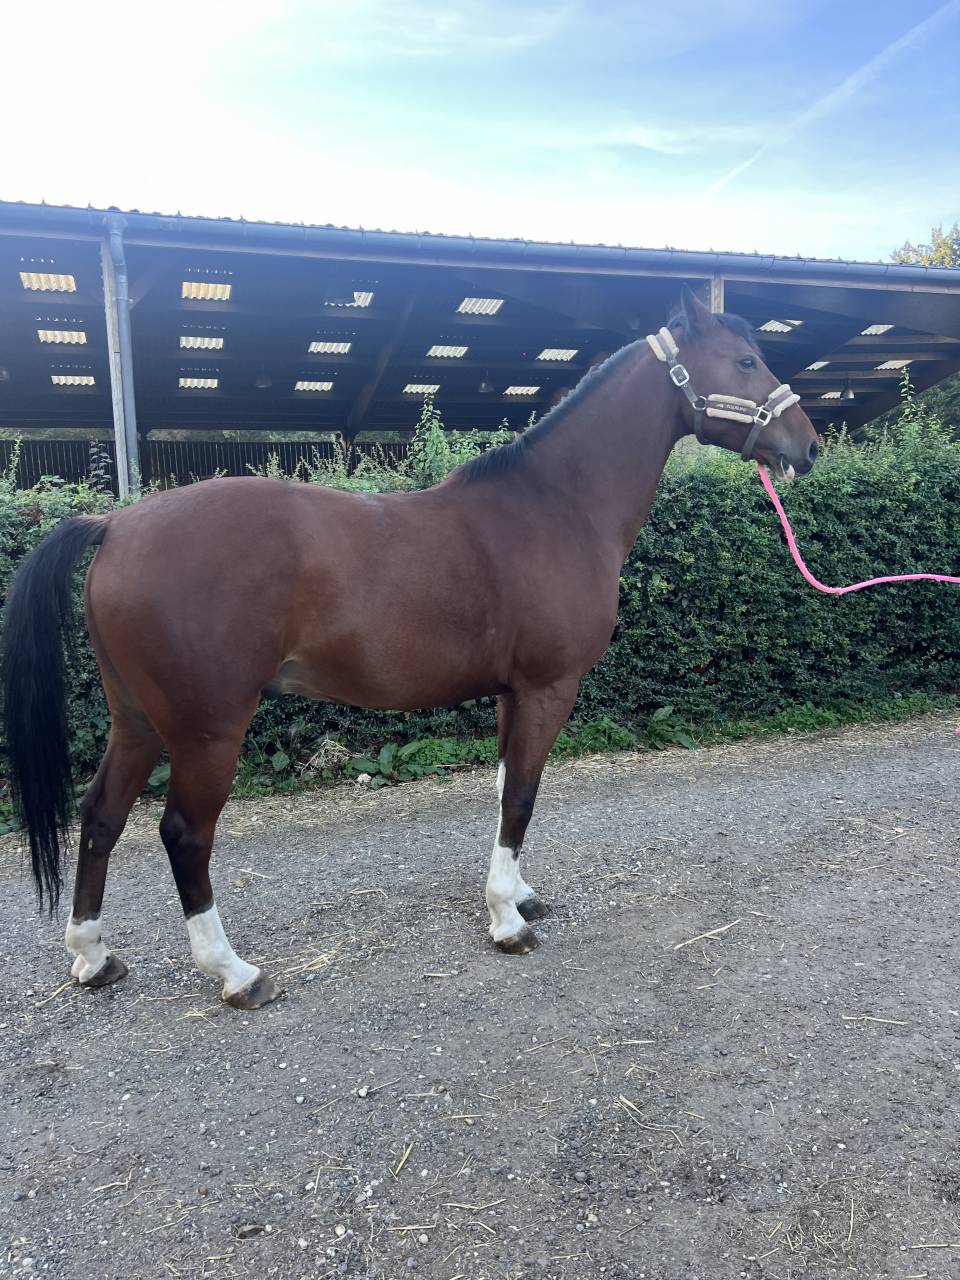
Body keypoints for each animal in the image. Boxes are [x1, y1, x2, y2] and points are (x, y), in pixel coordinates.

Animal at [1, 286, 819, 1009]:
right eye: (745, 360)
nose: (808, 446)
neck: (555, 508)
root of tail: (116, 525)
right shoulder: (548, 688)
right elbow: (522, 794)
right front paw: (505, 922)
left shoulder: (510, 693)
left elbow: (504, 790)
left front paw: (517, 896)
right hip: (208, 731)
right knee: (184, 835)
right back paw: (234, 973)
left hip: (137, 720)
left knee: (100, 816)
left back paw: (93, 958)